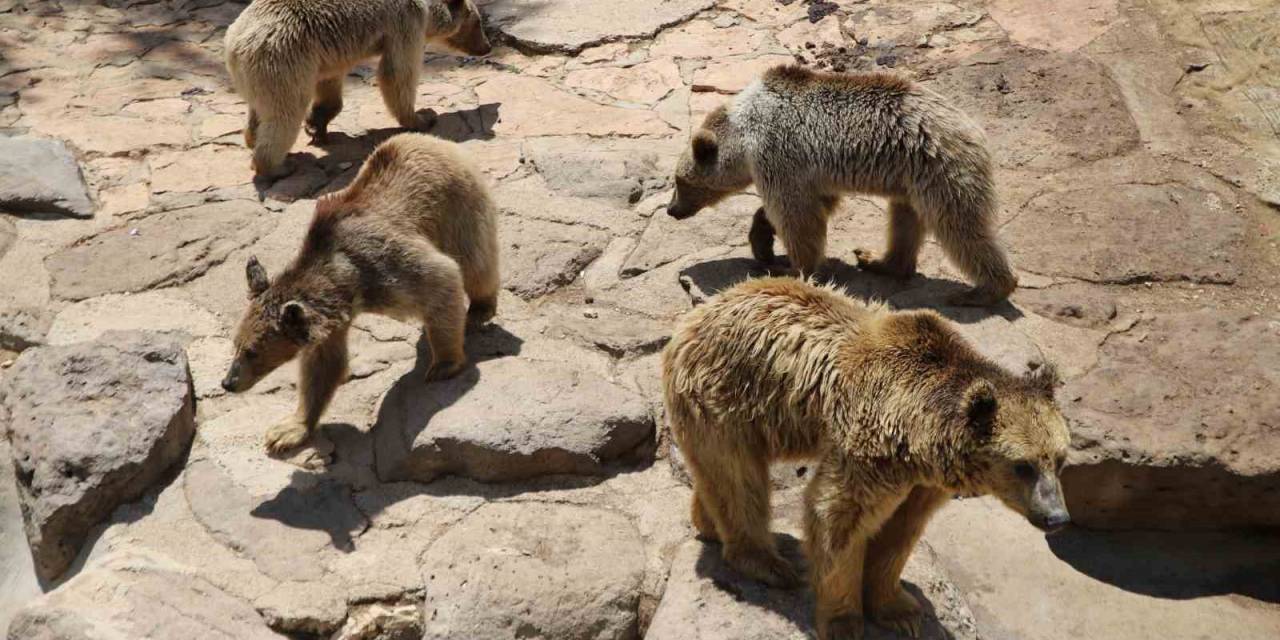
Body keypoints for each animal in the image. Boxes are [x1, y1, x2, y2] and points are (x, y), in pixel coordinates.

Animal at [220, 133, 499, 455]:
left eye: (253, 351)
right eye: (236, 344)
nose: (228, 382)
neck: (348, 283)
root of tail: (434, 140)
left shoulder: (385, 267)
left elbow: (442, 279)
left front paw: (443, 365)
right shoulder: (331, 324)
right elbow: (323, 368)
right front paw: (288, 430)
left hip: (457, 204)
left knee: (475, 262)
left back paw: (480, 308)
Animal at [225, 0, 488, 177]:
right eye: (478, 22)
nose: (487, 46)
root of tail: (233, 46)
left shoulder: (324, 55)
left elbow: (330, 86)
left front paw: (317, 124)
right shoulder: (405, 23)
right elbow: (398, 72)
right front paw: (423, 117)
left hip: (262, 74)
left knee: (260, 110)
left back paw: (252, 138)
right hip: (283, 58)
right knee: (285, 113)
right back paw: (277, 166)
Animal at [660, 279, 1070, 640]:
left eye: (1060, 459)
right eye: (1023, 465)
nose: (1057, 518)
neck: (920, 431)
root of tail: (698, 314)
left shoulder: (922, 479)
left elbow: (901, 530)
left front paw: (900, 610)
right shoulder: (872, 446)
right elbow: (839, 517)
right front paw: (844, 621)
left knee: (720, 475)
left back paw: (708, 523)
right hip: (723, 394)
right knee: (739, 478)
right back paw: (768, 564)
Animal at [670, 64, 1018, 307]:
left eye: (680, 182)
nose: (671, 210)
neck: (743, 137)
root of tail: (973, 129)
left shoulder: (780, 152)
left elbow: (798, 217)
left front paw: (792, 267)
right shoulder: (808, 173)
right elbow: (810, 205)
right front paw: (763, 244)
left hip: (940, 168)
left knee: (959, 227)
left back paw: (985, 290)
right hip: (910, 180)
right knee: (905, 221)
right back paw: (878, 260)